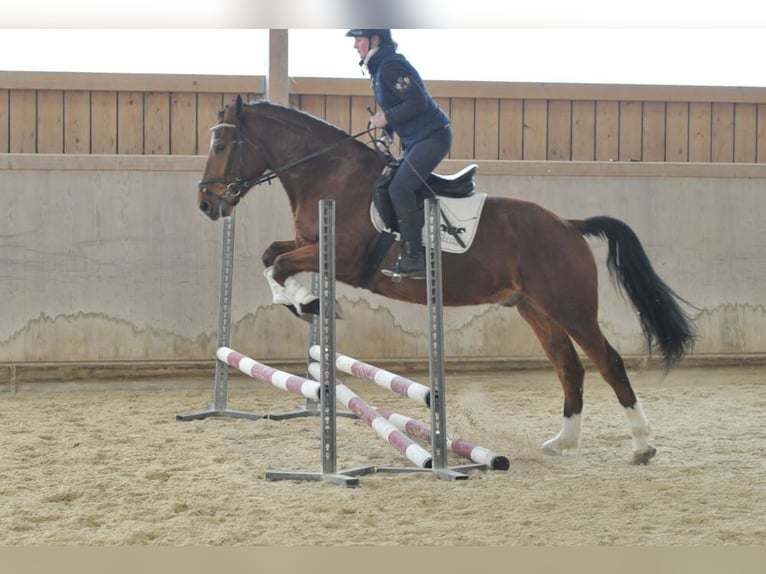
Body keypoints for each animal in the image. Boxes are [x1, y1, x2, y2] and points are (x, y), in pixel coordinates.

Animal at [197, 95, 695, 465]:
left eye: (221, 147)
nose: (207, 205)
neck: (330, 172)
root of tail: (568, 225)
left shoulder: (343, 258)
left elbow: (278, 264)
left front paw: (310, 304)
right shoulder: (312, 247)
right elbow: (272, 256)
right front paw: (306, 302)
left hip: (569, 306)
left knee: (609, 362)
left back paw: (642, 444)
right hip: (536, 309)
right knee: (569, 367)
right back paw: (563, 442)